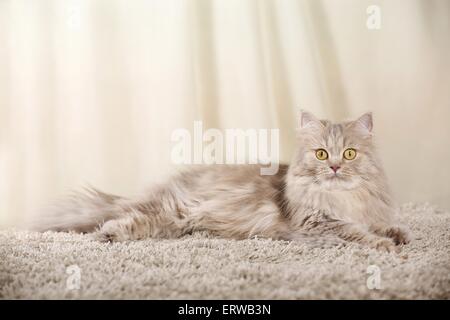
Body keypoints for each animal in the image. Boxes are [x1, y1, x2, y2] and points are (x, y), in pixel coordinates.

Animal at [30, 111, 412, 251]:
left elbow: (383, 225)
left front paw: (398, 235)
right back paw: (105, 235)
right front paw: (385, 246)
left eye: (349, 153)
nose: (333, 167)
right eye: (321, 154)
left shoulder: (367, 213)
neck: (344, 199)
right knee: (121, 219)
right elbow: (357, 234)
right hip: (172, 211)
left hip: (174, 221)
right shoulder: (317, 224)